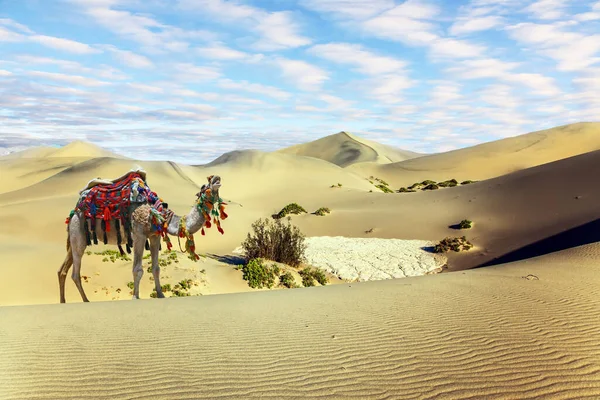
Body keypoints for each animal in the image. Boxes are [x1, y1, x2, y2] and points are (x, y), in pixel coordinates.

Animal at [58, 172, 227, 304]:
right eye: (204, 185)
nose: (217, 178)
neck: (158, 213)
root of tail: (73, 212)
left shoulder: (154, 236)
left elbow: (156, 268)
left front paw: (160, 294)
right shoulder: (139, 234)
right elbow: (137, 269)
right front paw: (135, 297)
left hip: (75, 237)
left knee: (63, 270)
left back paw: (63, 301)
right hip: (78, 231)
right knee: (75, 273)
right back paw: (86, 300)